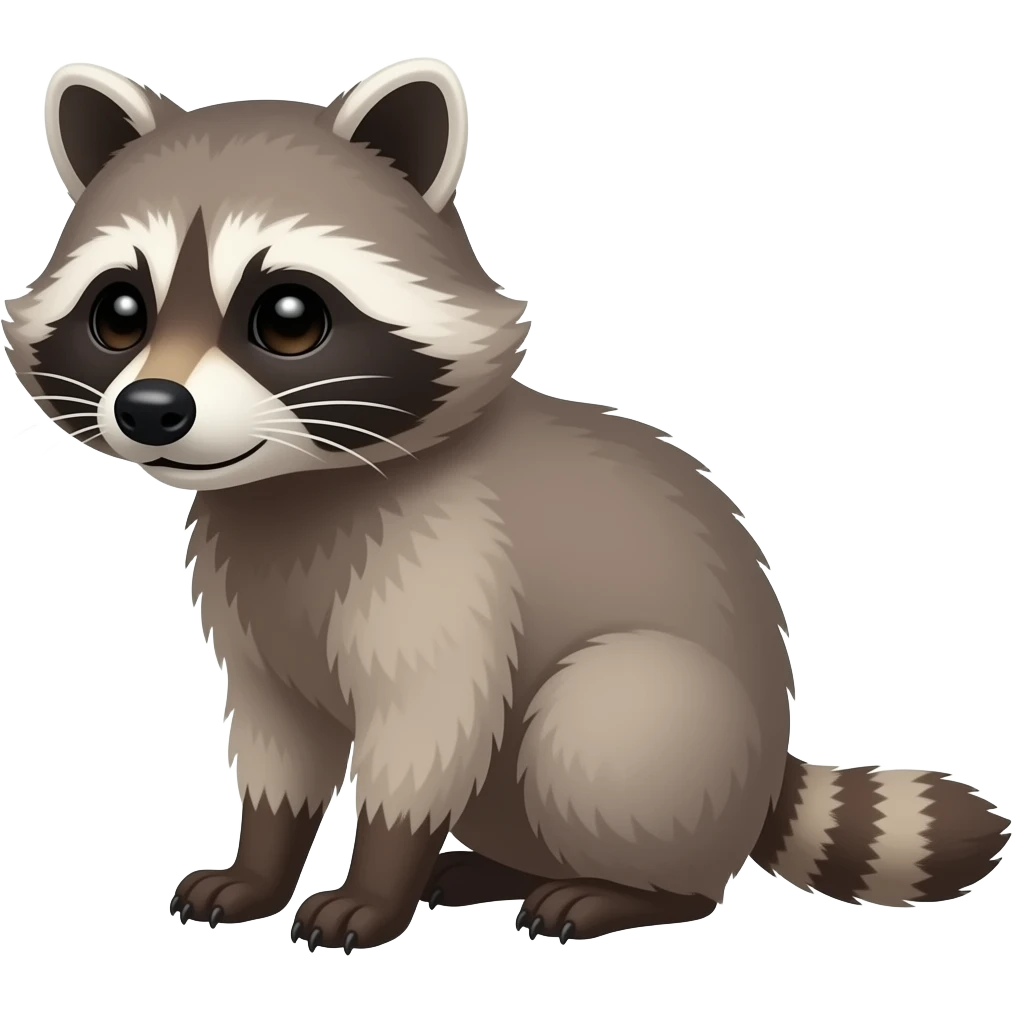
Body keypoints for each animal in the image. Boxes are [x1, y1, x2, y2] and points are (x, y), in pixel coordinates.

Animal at [5, 58, 1008, 952]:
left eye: (288, 318)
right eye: (120, 313)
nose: (152, 409)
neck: (295, 482)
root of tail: (766, 771)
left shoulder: (455, 564)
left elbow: (429, 734)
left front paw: (374, 884)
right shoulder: (249, 610)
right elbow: (276, 739)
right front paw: (260, 861)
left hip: (669, 730)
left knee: (600, 721)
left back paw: (629, 891)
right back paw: (498, 868)